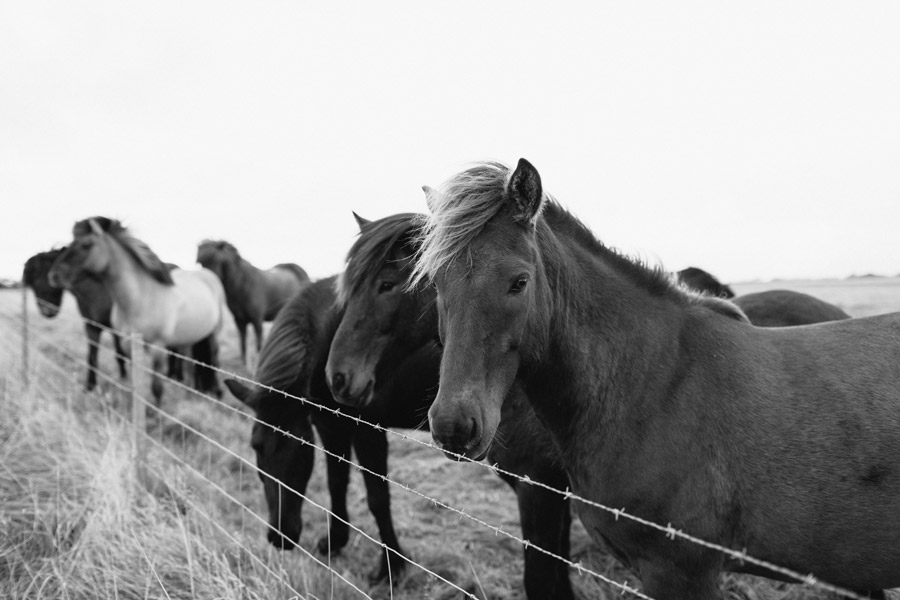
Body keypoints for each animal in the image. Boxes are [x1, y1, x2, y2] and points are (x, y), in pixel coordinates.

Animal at [49, 217, 227, 404]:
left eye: (86, 244)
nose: (54, 275)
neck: (141, 299)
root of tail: (208, 275)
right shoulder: (128, 345)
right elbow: (137, 384)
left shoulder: (157, 348)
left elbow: (156, 388)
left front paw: (157, 409)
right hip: (191, 336)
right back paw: (191, 390)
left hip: (214, 333)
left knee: (214, 357)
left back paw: (217, 391)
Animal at [221, 278, 440, 584]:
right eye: (256, 446)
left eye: (299, 445)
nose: (279, 537)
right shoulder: (330, 425)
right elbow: (336, 483)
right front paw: (334, 542)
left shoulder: (368, 431)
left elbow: (378, 499)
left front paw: (391, 568)